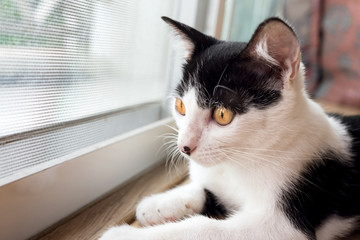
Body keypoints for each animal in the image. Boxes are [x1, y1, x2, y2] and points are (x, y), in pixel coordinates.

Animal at [100, 16, 360, 240]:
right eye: (181, 106)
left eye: (222, 115)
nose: (184, 147)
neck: (240, 161)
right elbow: (206, 189)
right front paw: (160, 203)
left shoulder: (285, 225)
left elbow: (204, 228)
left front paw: (125, 235)